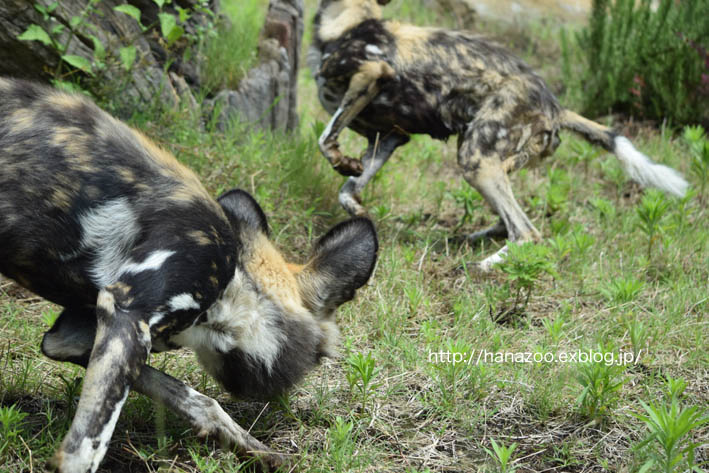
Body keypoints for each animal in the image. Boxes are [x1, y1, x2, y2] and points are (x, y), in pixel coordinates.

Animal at [0, 75, 378, 470]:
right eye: (320, 356)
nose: (282, 397)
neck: (234, 284)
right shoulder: (127, 313)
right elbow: (84, 449)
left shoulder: (77, 335)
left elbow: (197, 401)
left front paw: (257, 449)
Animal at [308, 0, 684, 270]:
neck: (349, 20)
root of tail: (556, 106)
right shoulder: (389, 136)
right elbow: (348, 189)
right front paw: (360, 214)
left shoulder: (372, 73)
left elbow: (325, 140)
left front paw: (341, 161)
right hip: (486, 162)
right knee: (508, 224)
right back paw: (466, 241)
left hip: (475, 160)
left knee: (527, 232)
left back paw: (478, 267)